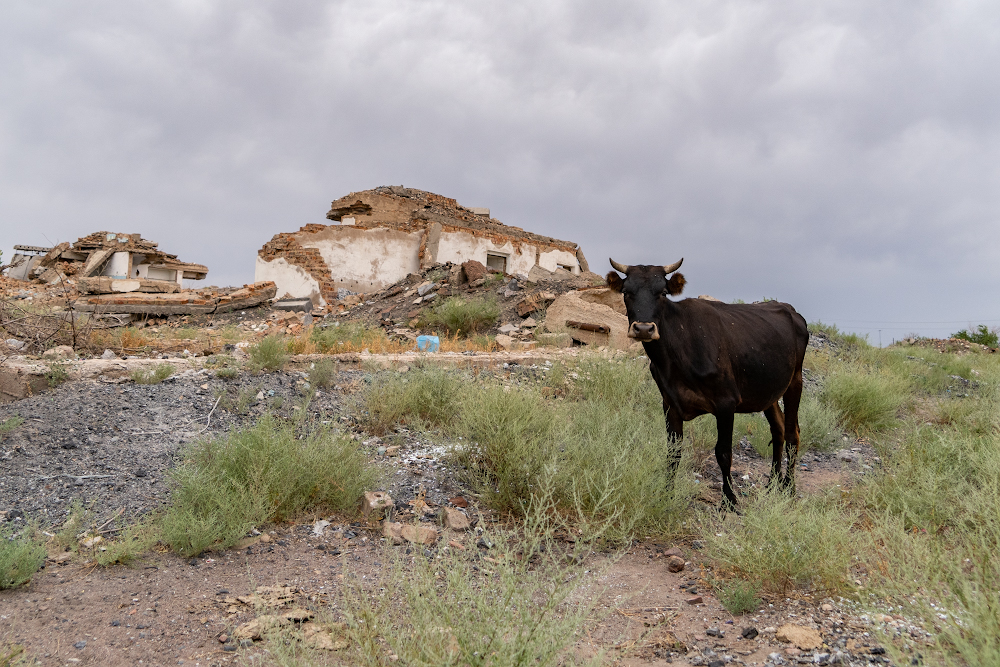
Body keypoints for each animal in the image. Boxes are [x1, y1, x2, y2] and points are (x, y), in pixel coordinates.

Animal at [604, 258, 808, 508]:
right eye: (626, 292)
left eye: (662, 293)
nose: (644, 328)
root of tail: (791, 311)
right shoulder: (670, 403)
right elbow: (673, 452)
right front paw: (666, 495)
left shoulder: (726, 403)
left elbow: (723, 453)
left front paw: (729, 500)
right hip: (767, 391)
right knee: (778, 429)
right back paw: (772, 485)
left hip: (795, 381)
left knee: (792, 434)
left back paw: (788, 487)